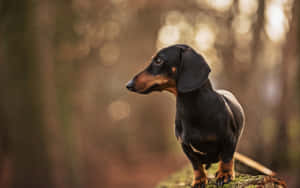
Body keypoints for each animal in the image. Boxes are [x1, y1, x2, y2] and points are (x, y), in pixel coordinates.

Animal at [125, 44, 245, 187]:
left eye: (158, 60)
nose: (128, 85)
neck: (192, 108)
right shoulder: (185, 146)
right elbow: (196, 165)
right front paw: (199, 181)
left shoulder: (229, 139)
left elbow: (226, 158)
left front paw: (224, 174)